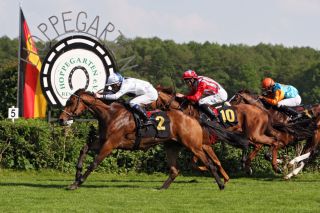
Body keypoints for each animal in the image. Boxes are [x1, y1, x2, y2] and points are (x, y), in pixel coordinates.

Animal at [58, 88, 228, 190]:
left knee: (209, 163)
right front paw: (77, 175)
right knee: (174, 170)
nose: (61, 119)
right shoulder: (102, 140)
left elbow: (94, 163)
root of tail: (193, 118)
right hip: (171, 146)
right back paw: (161, 188)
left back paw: (221, 184)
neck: (110, 114)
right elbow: (84, 149)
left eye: (71, 102)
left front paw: (77, 183)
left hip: (193, 145)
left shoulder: (111, 143)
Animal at [151, 87, 284, 174]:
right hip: (247, 134)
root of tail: (262, 111)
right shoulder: (201, 143)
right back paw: (251, 166)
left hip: (254, 134)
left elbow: (196, 162)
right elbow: (193, 163)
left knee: (272, 141)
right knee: (262, 144)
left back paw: (275, 166)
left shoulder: (201, 143)